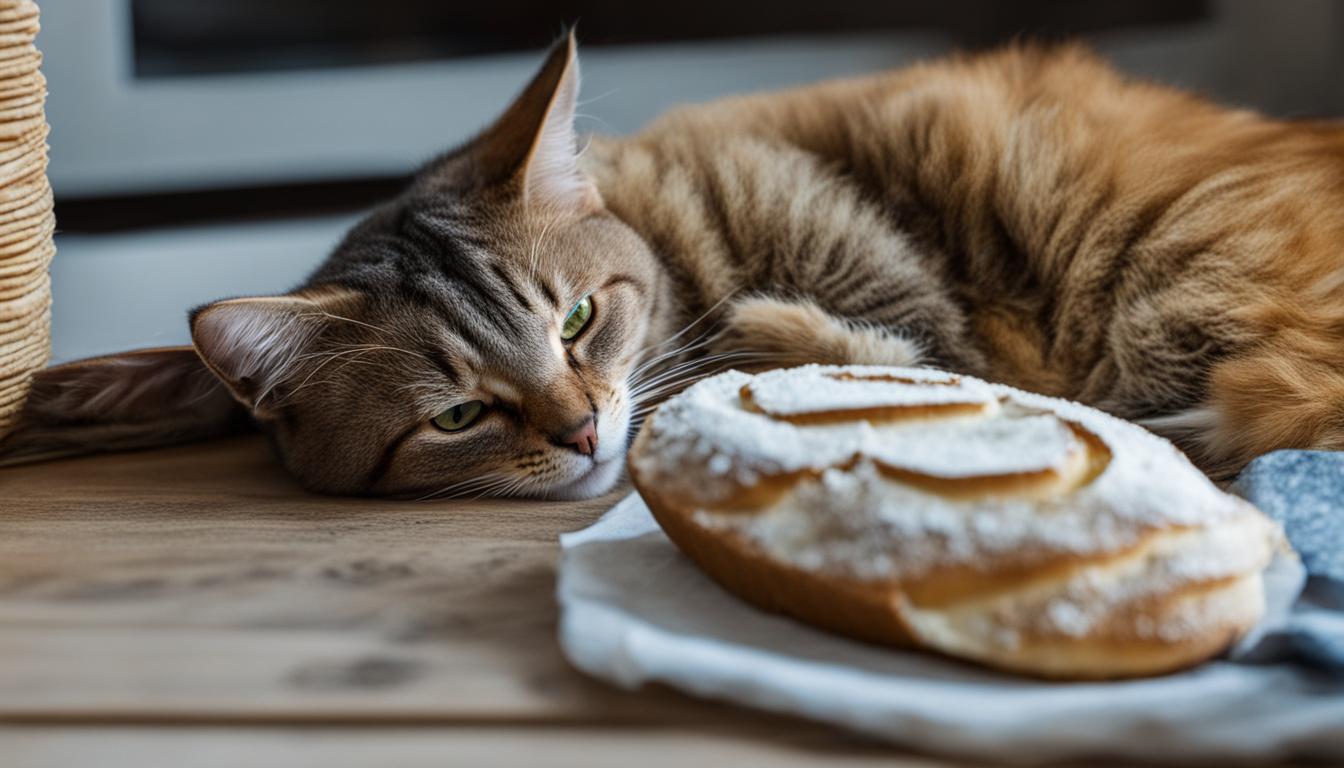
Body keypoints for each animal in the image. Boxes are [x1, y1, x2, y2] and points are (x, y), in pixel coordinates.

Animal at [2, 33, 1344, 494]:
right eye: (455, 414)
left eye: (578, 319)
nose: (585, 429)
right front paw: (94, 392)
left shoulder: (914, 307)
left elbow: (928, 362)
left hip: (1182, 279)